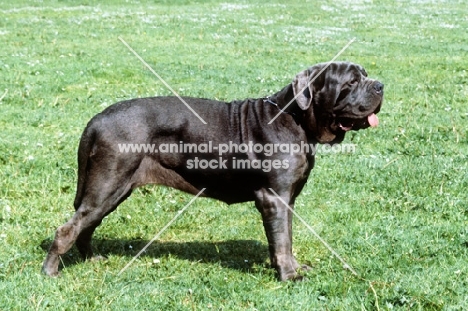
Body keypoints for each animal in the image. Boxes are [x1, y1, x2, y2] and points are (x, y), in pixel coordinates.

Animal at [42, 62, 382, 282]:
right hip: (106, 184)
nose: (380, 85)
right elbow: (282, 240)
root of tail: (98, 118)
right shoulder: (274, 198)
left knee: (87, 224)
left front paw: (295, 268)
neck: (296, 119)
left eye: (365, 76)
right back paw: (50, 272)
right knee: (67, 229)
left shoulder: (288, 199)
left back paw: (92, 259)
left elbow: (286, 236)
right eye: (351, 81)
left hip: (114, 189)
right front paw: (289, 276)